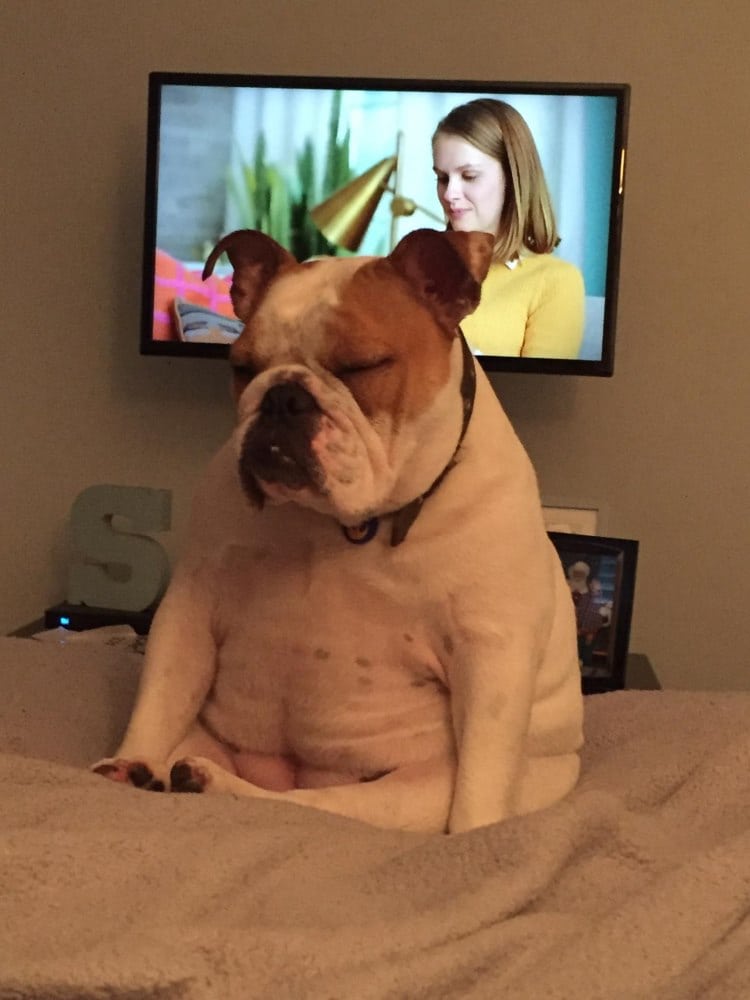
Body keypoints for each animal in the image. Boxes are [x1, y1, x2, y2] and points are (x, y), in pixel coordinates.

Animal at [94, 227, 583, 834]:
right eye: (242, 366)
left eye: (361, 366)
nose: (282, 396)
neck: (343, 525)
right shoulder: (189, 610)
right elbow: (157, 703)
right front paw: (129, 759)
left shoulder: (492, 653)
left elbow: (480, 785)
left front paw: (476, 835)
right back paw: (154, 774)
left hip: (409, 794)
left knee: (313, 805)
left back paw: (208, 783)